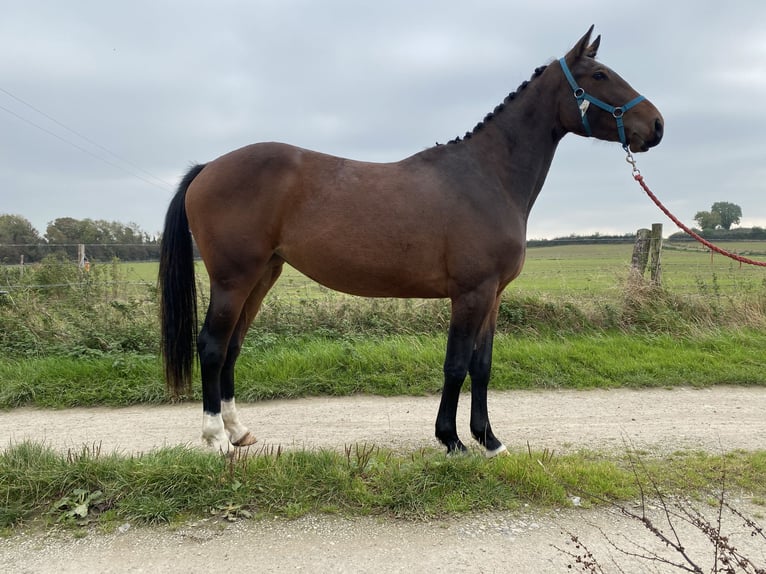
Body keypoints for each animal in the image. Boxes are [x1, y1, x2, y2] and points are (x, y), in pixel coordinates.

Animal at [159, 26, 663, 455]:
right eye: (599, 75)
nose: (657, 125)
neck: (488, 176)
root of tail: (207, 168)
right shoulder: (470, 293)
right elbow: (456, 364)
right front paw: (452, 440)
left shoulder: (493, 296)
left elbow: (482, 365)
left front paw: (489, 440)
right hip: (233, 279)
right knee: (212, 345)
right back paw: (215, 439)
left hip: (262, 275)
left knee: (233, 346)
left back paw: (238, 431)